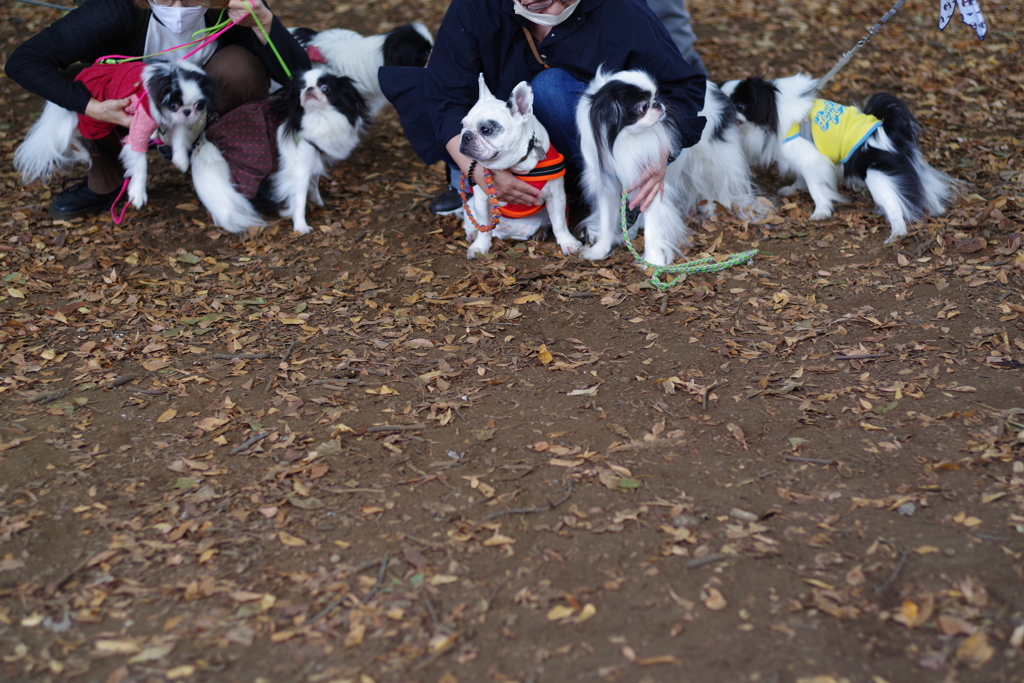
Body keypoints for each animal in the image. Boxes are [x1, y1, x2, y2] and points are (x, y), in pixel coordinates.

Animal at [12, 59, 215, 209]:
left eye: (199, 105)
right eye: (173, 105)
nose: (188, 111)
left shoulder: (175, 122)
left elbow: (179, 139)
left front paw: (180, 160)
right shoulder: (139, 127)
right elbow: (140, 164)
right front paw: (138, 193)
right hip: (92, 120)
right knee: (68, 136)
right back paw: (83, 154)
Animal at [192, 68, 368, 235]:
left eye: (326, 88)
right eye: (300, 88)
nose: (309, 89)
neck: (318, 116)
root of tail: (209, 139)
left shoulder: (312, 158)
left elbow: (313, 183)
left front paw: (318, 202)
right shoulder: (300, 169)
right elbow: (300, 199)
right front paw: (301, 226)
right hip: (246, 166)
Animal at [577, 66, 761, 264]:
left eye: (657, 96)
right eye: (643, 106)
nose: (658, 103)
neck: (626, 139)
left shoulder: (651, 183)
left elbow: (652, 229)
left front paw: (654, 261)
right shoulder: (607, 186)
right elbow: (607, 222)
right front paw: (599, 250)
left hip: (714, 160)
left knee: (722, 184)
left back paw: (720, 207)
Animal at [720, 73, 958, 244]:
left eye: (739, 106)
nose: (725, 112)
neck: (775, 108)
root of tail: (887, 131)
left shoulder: (811, 160)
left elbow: (816, 189)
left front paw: (821, 212)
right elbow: (801, 179)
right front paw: (793, 189)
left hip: (877, 177)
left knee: (894, 205)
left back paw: (897, 233)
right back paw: (936, 210)